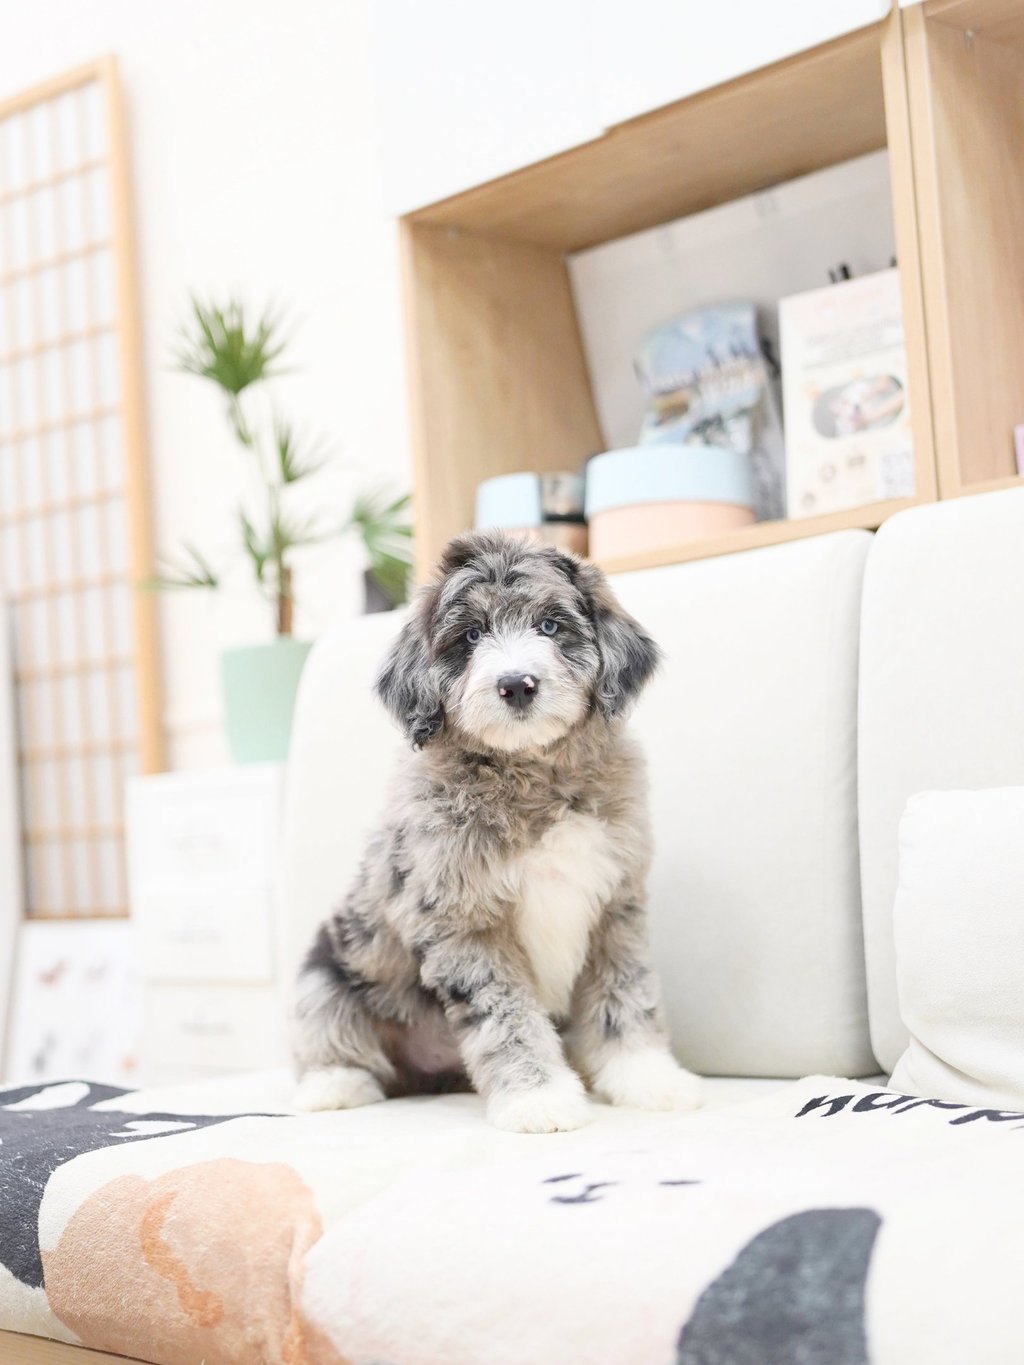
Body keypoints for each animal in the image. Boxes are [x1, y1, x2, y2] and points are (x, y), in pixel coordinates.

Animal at [291, 531, 702, 1132]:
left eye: (550, 626)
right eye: (470, 636)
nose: (516, 685)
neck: (534, 776)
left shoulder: (616, 906)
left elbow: (626, 994)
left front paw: (647, 1078)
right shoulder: (464, 923)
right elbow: (505, 1015)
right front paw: (539, 1098)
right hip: (326, 972)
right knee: (326, 1035)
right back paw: (334, 1086)